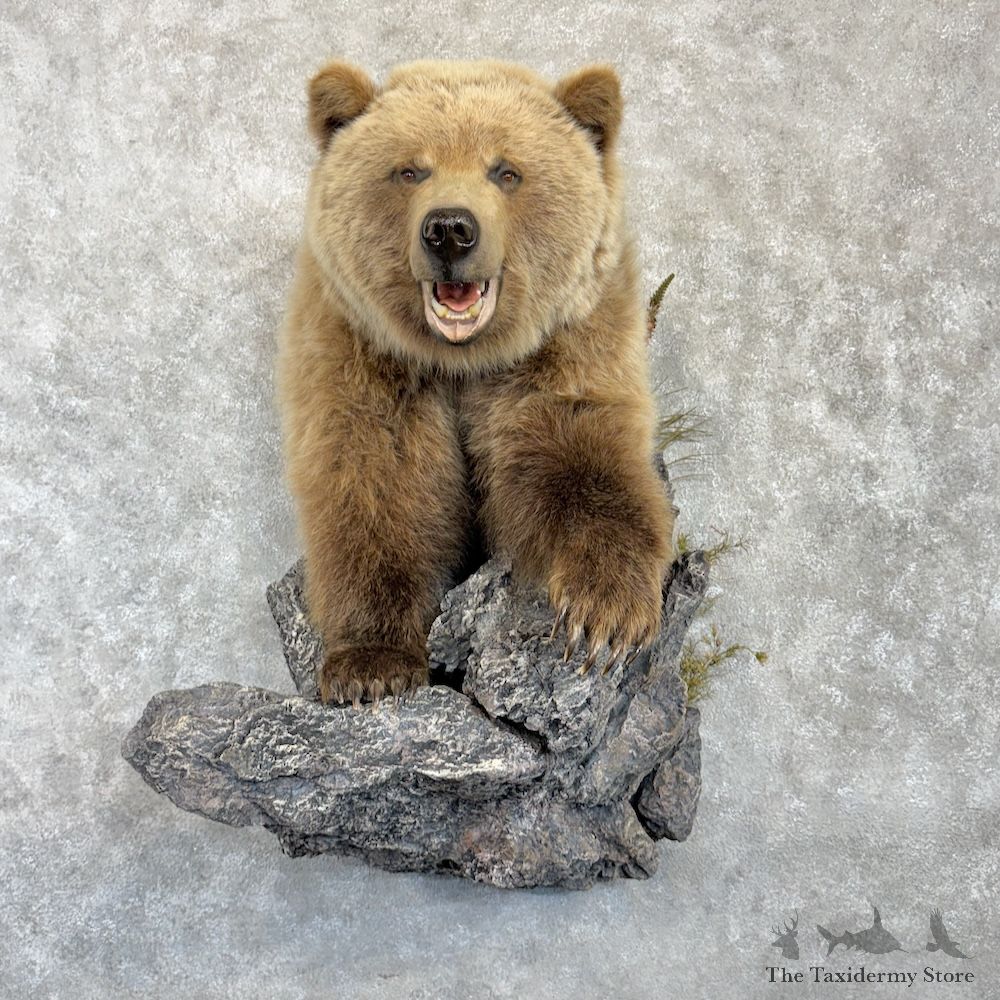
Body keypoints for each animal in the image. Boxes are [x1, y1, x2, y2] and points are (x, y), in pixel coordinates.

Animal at [277, 59, 674, 705]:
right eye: (410, 169)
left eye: (506, 170)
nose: (449, 230)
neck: (462, 363)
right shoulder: (361, 350)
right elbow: (376, 476)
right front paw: (370, 664)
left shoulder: (561, 345)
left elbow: (576, 451)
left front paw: (605, 612)